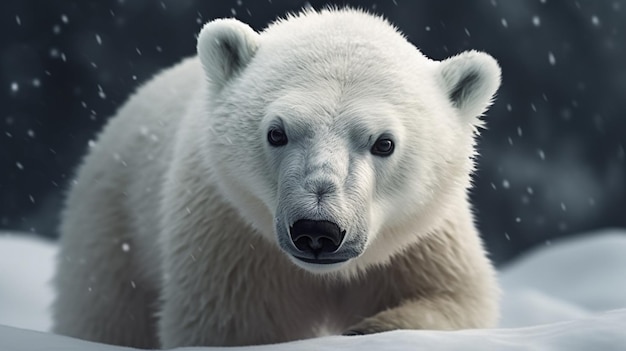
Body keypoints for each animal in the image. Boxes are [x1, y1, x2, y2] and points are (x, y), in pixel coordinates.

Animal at [51, 6, 500, 348]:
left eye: (384, 143)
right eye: (276, 133)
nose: (317, 230)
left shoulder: (423, 242)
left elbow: (454, 299)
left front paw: (367, 328)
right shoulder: (229, 244)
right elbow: (232, 328)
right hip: (113, 221)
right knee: (103, 309)